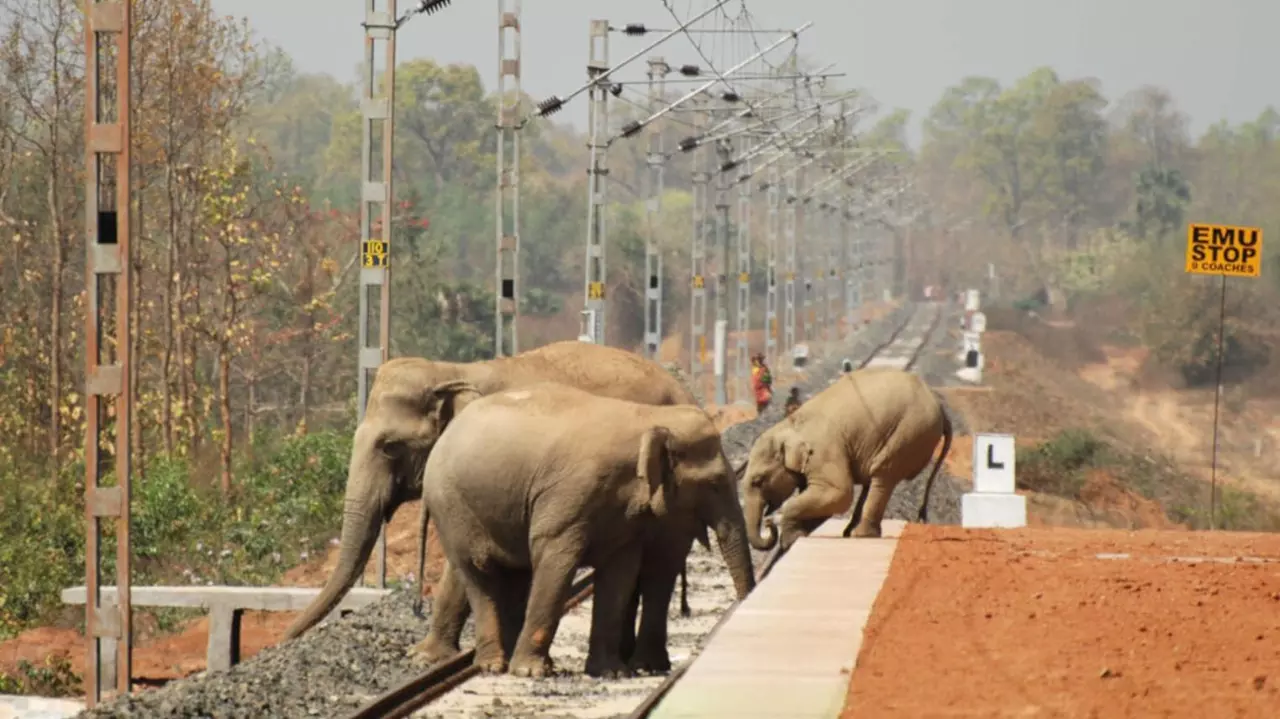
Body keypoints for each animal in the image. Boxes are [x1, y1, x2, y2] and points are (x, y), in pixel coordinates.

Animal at [412, 382, 756, 678]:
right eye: (714, 484)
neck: (646, 417)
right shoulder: (569, 496)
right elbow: (556, 564)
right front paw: (530, 673)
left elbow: (619, 575)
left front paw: (611, 672)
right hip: (453, 507)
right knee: (479, 572)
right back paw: (496, 665)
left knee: (516, 575)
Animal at [739, 366, 953, 554]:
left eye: (758, 481)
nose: (768, 524)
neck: (789, 425)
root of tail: (941, 406)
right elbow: (821, 500)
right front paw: (799, 535)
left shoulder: (823, 450)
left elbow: (839, 493)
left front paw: (791, 541)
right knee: (873, 479)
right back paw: (850, 532)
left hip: (908, 433)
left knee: (883, 475)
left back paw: (862, 535)